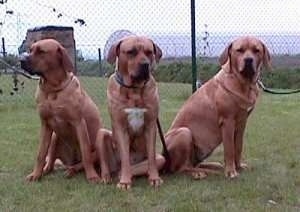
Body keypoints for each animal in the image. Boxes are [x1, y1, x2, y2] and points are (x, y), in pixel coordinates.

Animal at [20, 38, 102, 182]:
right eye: (30, 49)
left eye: (41, 51)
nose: (21, 60)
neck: (53, 89)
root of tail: (70, 161)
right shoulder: (45, 125)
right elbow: (40, 154)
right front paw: (35, 174)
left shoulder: (79, 123)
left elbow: (86, 154)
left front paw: (92, 176)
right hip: (54, 138)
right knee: (51, 162)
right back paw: (47, 170)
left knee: (80, 164)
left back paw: (71, 171)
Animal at [98, 35, 165, 190]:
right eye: (131, 52)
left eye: (149, 52)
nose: (145, 65)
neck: (134, 89)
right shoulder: (120, 127)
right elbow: (124, 157)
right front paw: (125, 182)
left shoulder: (151, 125)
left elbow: (151, 157)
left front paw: (154, 178)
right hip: (101, 134)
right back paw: (107, 177)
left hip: (161, 158)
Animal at [164, 36, 272, 179]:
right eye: (240, 50)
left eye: (256, 50)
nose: (248, 60)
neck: (243, 83)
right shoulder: (227, 122)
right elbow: (230, 149)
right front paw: (231, 171)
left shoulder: (242, 123)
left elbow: (238, 147)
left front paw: (238, 166)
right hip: (184, 132)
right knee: (182, 168)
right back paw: (201, 173)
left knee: (193, 164)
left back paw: (213, 166)